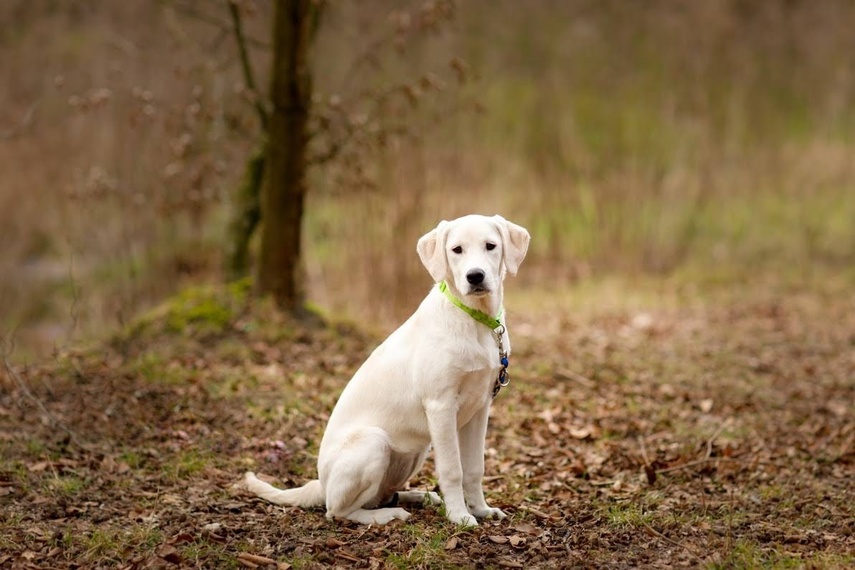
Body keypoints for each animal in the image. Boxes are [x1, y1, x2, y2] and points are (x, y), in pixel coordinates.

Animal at [244, 213, 532, 524]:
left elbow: (475, 468)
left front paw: (480, 509)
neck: (476, 320)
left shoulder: (480, 407)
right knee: (338, 511)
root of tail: (321, 484)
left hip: (415, 450)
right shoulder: (441, 406)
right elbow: (453, 470)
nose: (475, 276)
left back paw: (418, 497)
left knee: (378, 496)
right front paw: (460, 516)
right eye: (457, 250)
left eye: (491, 246)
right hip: (375, 441)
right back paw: (389, 515)